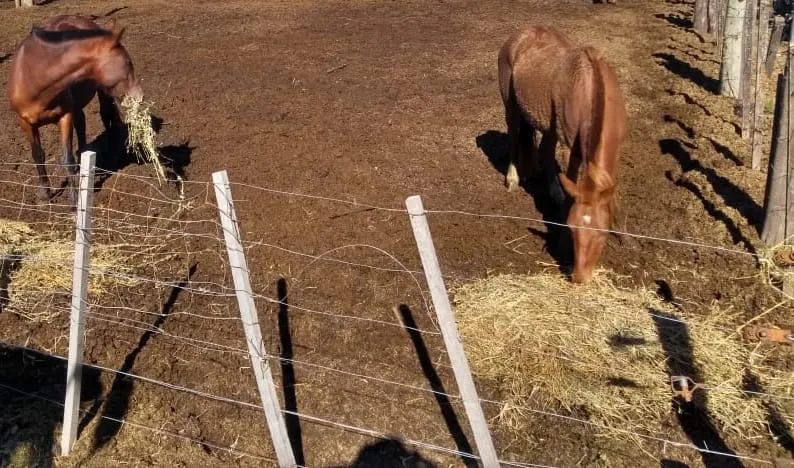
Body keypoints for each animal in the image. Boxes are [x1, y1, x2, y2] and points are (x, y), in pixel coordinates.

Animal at [6, 15, 143, 207]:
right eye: (128, 63)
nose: (140, 95)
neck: (34, 77)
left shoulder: (65, 117)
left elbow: (67, 159)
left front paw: (74, 199)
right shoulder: (25, 122)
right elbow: (38, 156)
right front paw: (44, 194)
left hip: (103, 93)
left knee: (108, 117)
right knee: (83, 123)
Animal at [497, 25, 627, 284]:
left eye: (601, 233)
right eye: (572, 227)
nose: (579, 277)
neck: (592, 89)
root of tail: (519, 36)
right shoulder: (575, 151)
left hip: (548, 124)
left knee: (545, 152)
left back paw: (552, 188)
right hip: (512, 108)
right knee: (514, 139)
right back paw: (514, 179)